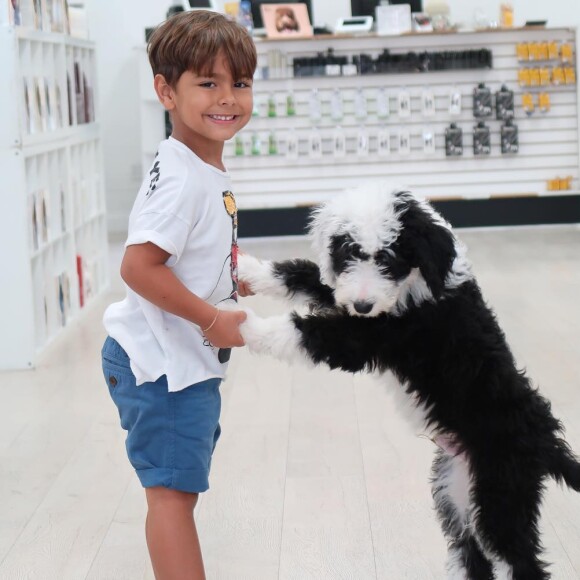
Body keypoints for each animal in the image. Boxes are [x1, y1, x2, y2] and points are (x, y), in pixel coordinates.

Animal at [239, 185, 580, 580]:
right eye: (350, 253)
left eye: (388, 258)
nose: (364, 305)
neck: (413, 282)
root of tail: (546, 440)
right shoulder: (344, 299)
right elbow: (305, 274)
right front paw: (249, 270)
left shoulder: (366, 336)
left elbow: (305, 329)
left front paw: (242, 324)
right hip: (456, 490)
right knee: (470, 551)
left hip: (502, 494)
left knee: (519, 560)